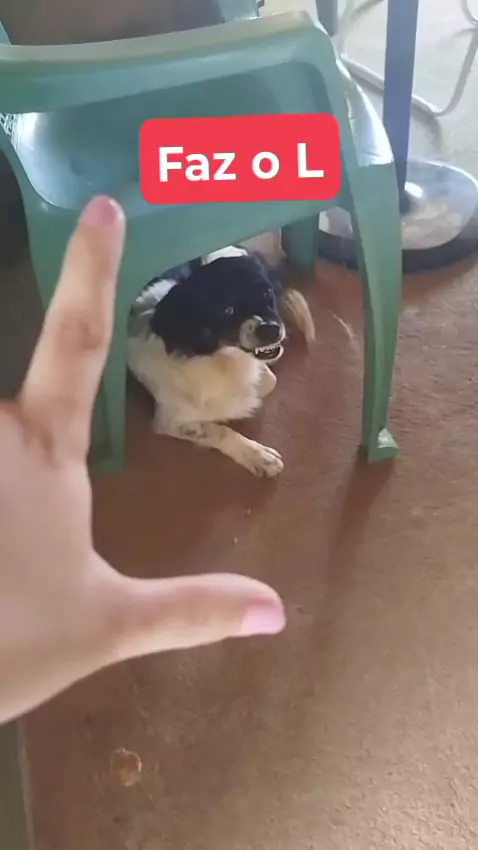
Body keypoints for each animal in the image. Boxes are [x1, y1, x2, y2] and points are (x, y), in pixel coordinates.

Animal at [127, 246, 315, 477]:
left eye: (267, 293)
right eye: (227, 309)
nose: (271, 329)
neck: (220, 359)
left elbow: (266, 383)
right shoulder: (170, 420)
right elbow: (219, 429)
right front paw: (259, 456)